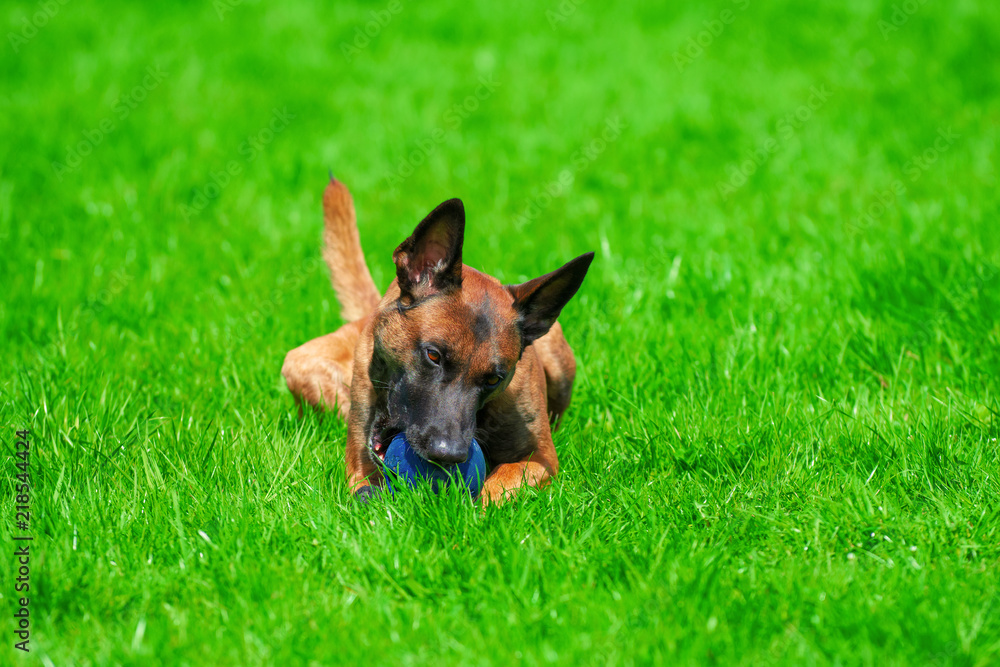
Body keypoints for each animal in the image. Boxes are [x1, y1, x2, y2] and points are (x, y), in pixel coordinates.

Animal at [282, 179, 592, 506]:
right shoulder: (360, 466)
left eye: (494, 379)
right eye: (433, 356)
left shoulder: (542, 459)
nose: (448, 454)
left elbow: (501, 482)